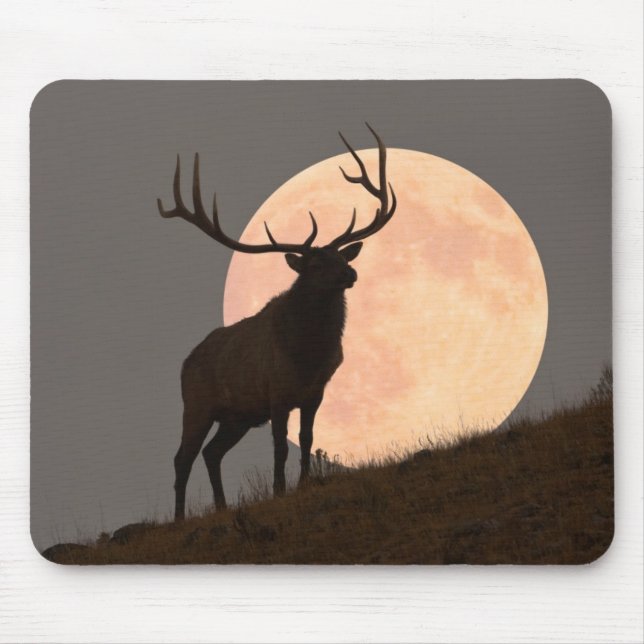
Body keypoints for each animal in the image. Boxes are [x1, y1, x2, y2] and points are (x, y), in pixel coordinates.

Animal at [157, 124, 397, 520]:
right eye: (315, 264)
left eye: (340, 256)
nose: (350, 273)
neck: (307, 354)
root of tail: (184, 362)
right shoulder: (277, 393)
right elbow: (280, 448)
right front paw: (279, 490)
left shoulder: (315, 392)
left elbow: (307, 440)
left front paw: (303, 484)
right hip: (196, 403)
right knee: (182, 458)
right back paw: (178, 518)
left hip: (237, 416)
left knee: (211, 452)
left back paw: (222, 506)